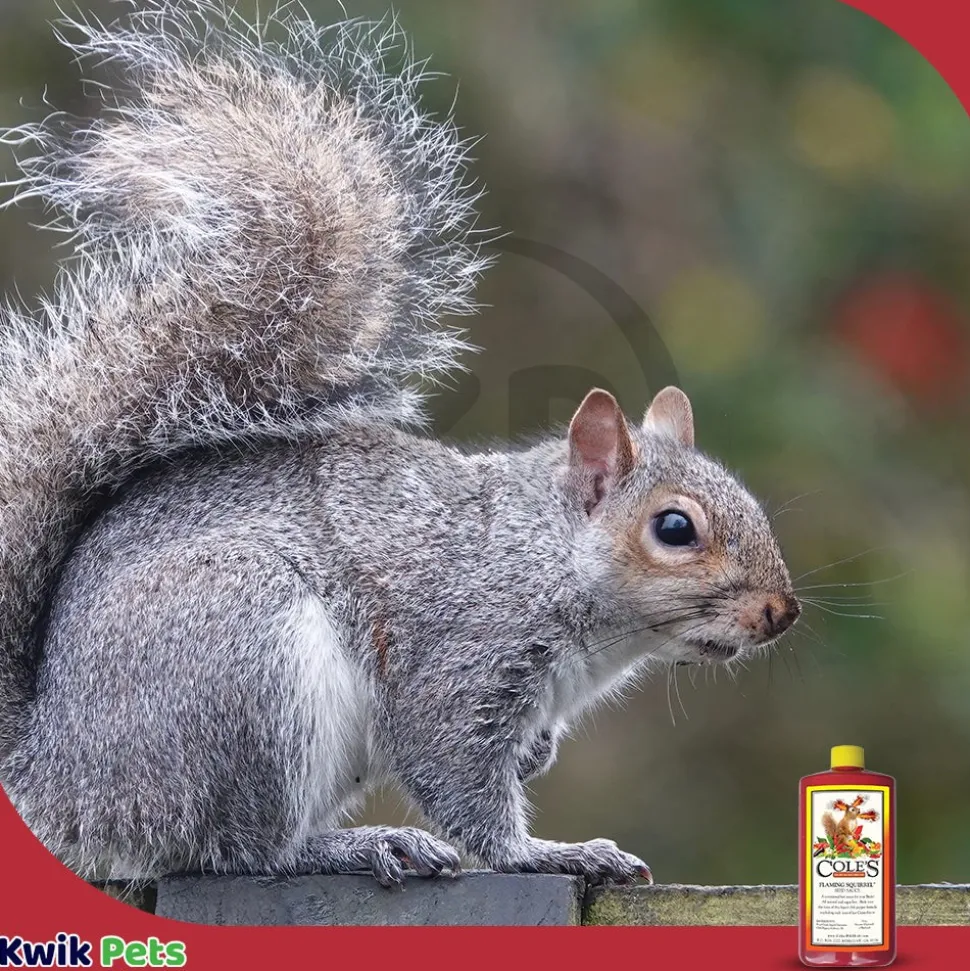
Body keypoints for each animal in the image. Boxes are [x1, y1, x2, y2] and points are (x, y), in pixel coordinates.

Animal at [0, 1, 801, 888]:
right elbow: (454, 772)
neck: (549, 558)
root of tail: (59, 776)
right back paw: (354, 843)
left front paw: (540, 761)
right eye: (674, 528)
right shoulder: (461, 655)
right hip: (240, 667)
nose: (781, 611)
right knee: (236, 847)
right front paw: (546, 851)